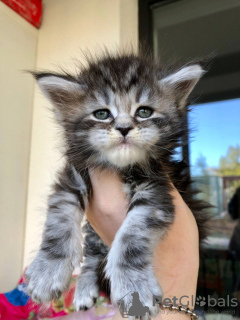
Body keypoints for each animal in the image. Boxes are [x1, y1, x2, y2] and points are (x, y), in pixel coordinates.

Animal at [25, 52, 209, 318]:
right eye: (102, 114)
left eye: (144, 111)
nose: (123, 128)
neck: (119, 168)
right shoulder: (72, 178)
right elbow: (58, 224)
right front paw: (47, 271)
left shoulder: (157, 190)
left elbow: (132, 237)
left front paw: (134, 287)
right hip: (93, 233)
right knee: (92, 258)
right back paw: (84, 289)